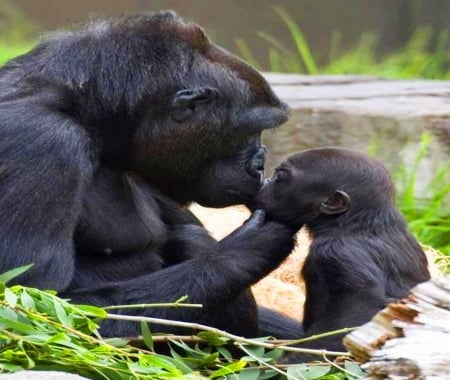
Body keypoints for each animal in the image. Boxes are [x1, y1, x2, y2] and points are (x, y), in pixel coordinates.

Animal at [0, 11, 302, 336]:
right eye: (251, 130)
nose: (260, 163)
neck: (88, 110)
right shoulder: (44, 138)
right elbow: (40, 306)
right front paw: (247, 249)